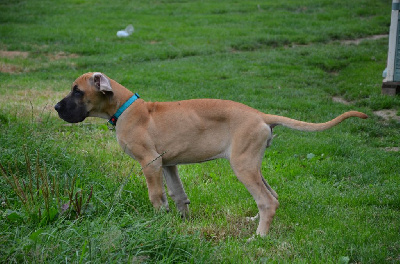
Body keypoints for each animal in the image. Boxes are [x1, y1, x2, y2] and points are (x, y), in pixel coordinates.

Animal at [54, 72, 368, 237]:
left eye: (77, 91)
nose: (56, 108)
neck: (125, 108)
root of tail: (260, 115)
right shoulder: (168, 164)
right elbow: (178, 195)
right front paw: (179, 222)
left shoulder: (150, 163)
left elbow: (157, 197)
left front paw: (156, 223)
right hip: (253, 164)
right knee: (272, 195)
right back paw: (255, 222)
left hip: (243, 165)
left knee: (267, 201)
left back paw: (259, 237)